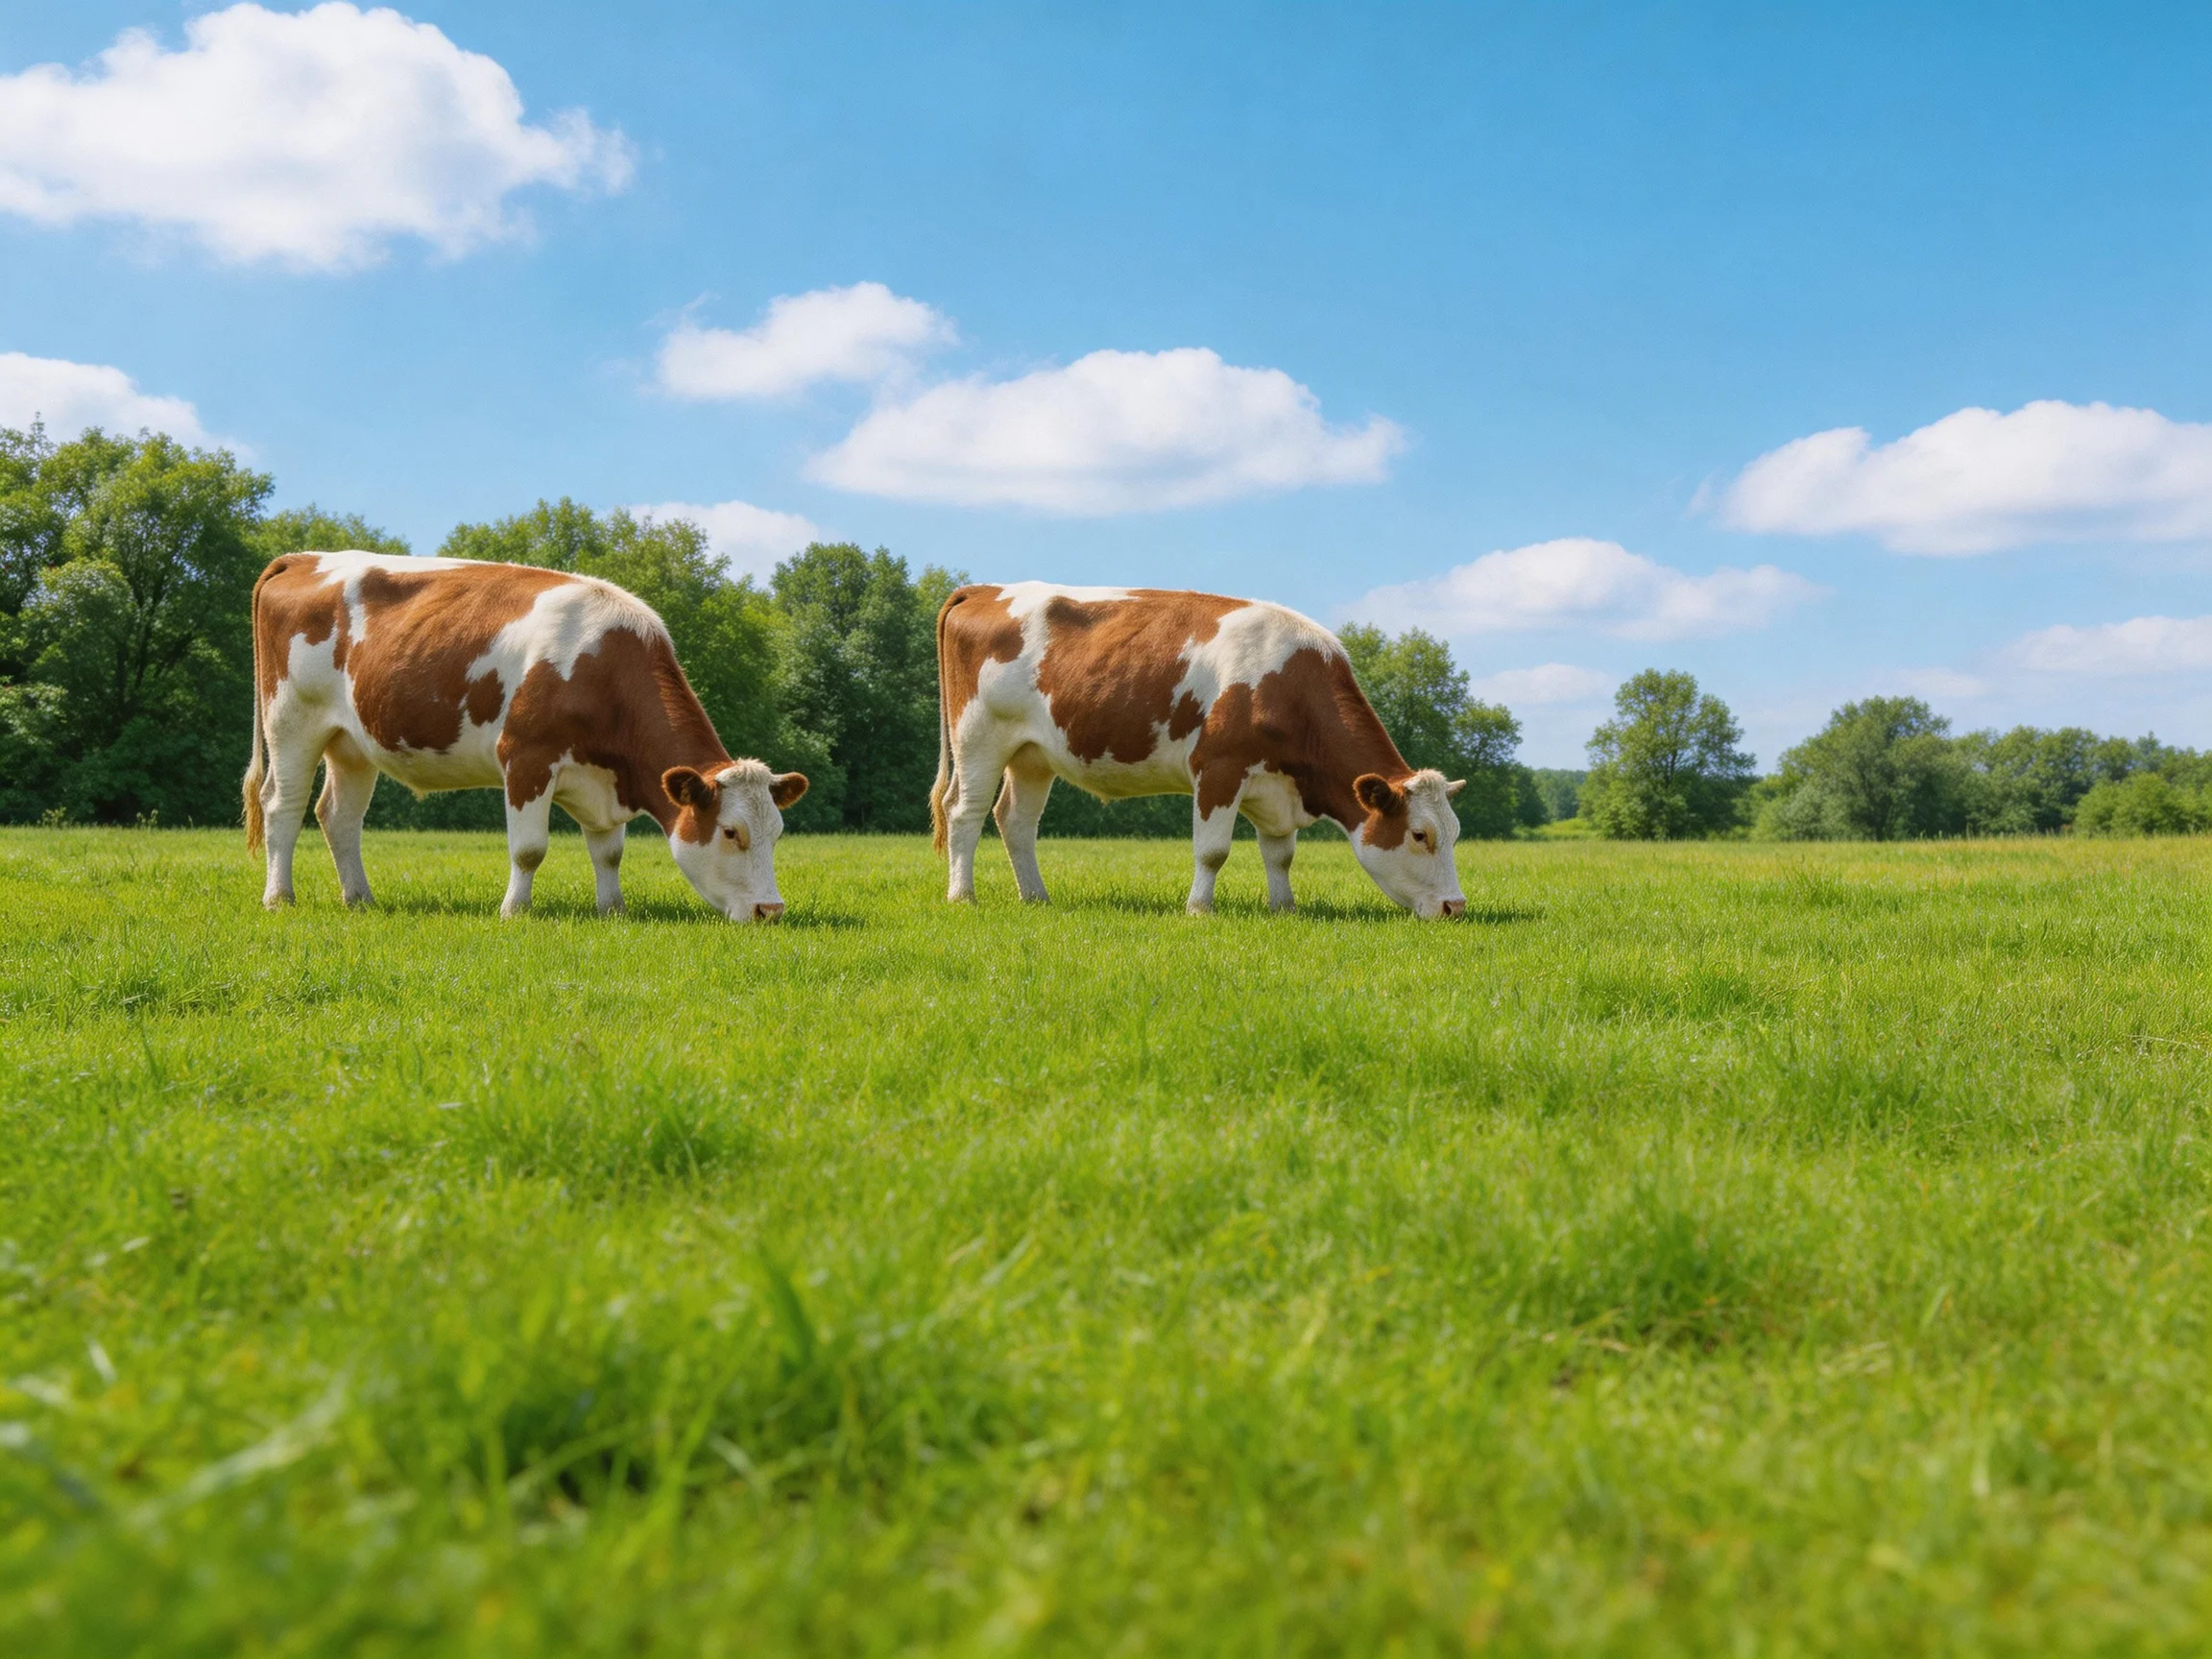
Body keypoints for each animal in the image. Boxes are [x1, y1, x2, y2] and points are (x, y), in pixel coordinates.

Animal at [242, 552, 807, 921]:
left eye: (779, 832)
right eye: (731, 832)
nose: (771, 909)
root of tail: (304, 556)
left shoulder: (601, 780)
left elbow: (609, 853)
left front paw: (613, 910)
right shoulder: (527, 758)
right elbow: (530, 849)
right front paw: (515, 911)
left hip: (352, 742)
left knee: (338, 817)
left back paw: (359, 899)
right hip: (292, 721)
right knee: (283, 807)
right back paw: (278, 898)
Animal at [929, 583, 1468, 918]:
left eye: (1455, 833)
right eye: (1420, 835)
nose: (1456, 907)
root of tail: (984, 589)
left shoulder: (1274, 789)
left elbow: (1281, 855)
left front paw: (1285, 908)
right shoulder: (1219, 769)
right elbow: (1213, 851)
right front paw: (1199, 909)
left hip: (1032, 756)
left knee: (1015, 821)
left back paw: (1036, 898)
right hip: (979, 737)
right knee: (964, 813)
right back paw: (962, 896)